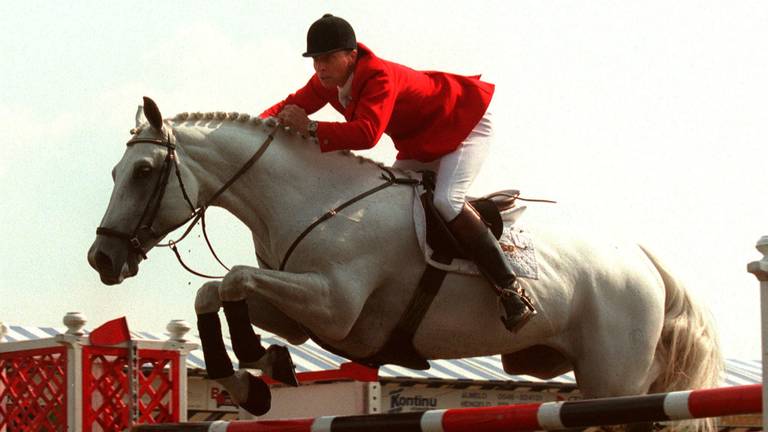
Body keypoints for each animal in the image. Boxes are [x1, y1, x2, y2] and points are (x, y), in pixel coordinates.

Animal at [88, 99, 720, 426]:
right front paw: (255, 375)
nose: (102, 258)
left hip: (616, 375)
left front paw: (252, 369)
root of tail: (643, 259)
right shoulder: (304, 313)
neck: (313, 198)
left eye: (143, 172)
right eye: (115, 171)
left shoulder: (335, 307)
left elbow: (234, 279)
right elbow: (219, 291)